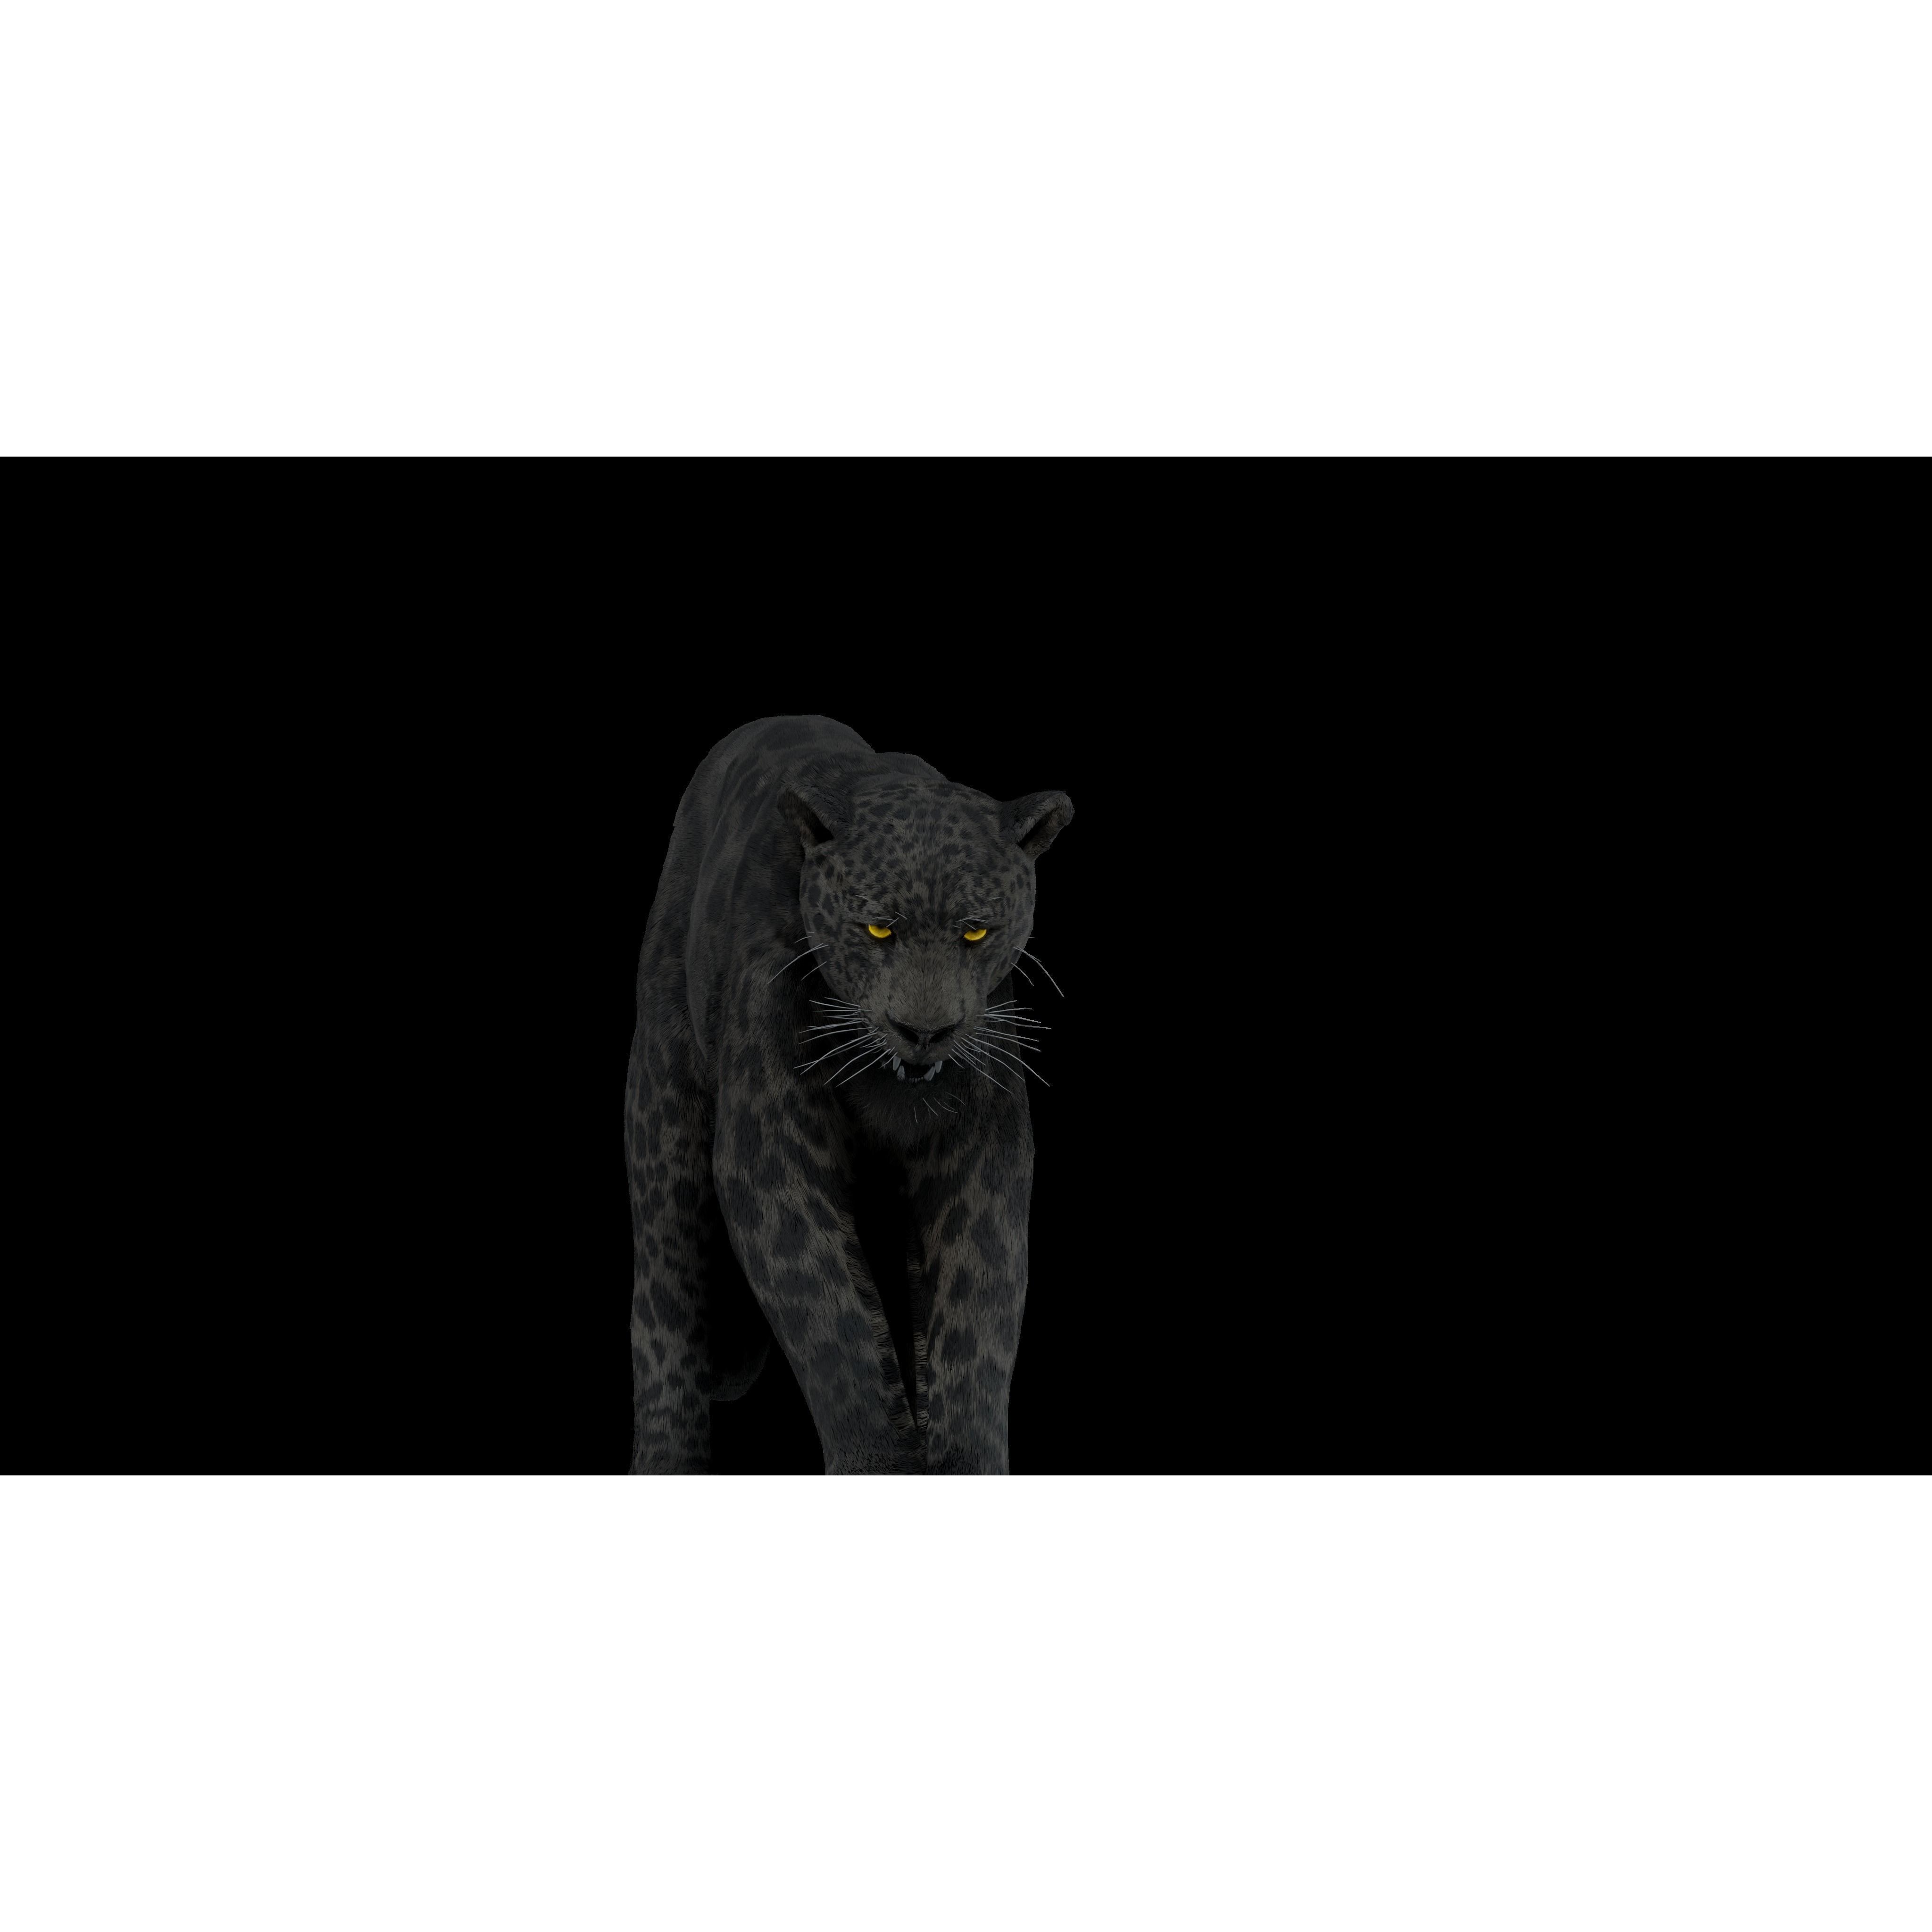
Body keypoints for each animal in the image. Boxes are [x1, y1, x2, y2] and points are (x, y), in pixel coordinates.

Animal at [625, 715, 1074, 1474]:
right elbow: (831, 1320)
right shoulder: (773, 1155)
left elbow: (977, 1319)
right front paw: (879, 1465)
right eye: (878, 928)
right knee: (666, 1301)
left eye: (975, 930)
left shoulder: (978, 1148)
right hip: (664, 1118)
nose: (925, 1031)